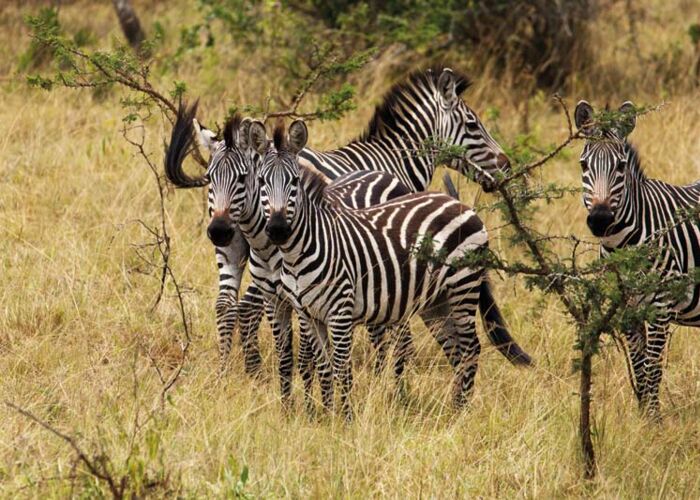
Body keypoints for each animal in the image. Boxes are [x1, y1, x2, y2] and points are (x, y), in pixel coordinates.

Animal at [249, 119, 532, 420]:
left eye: (294, 182)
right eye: (261, 182)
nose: (278, 229)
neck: (298, 254)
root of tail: (458, 202)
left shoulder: (340, 312)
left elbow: (341, 368)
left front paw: (345, 419)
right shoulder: (308, 314)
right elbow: (324, 368)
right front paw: (325, 416)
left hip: (463, 287)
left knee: (470, 348)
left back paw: (460, 412)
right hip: (437, 301)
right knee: (456, 350)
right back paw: (453, 410)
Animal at [574, 100, 700, 418]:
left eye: (620, 166)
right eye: (583, 165)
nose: (600, 219)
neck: (622, 246)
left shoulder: (660, 307)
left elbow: (653, 369)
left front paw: (653, 421)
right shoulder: (625, 311)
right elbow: (639, 368)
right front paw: (643, 418)